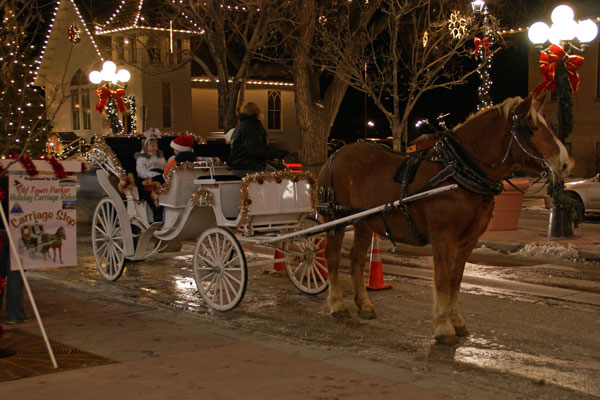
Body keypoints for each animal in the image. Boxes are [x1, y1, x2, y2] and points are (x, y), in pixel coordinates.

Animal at [316, 94, 576, 344]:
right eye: (531, 127)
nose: (566, 164)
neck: (459, 171)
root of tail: (335, 155)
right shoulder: (444, 237)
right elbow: (441, 279)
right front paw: (443, 326)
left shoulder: (468, 240)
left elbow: (455, 279)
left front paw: (456, 320)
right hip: (336, 218)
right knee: (332, 258)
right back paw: (337, 305)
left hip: (364, 222)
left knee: (357, 259)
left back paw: (364, 306)